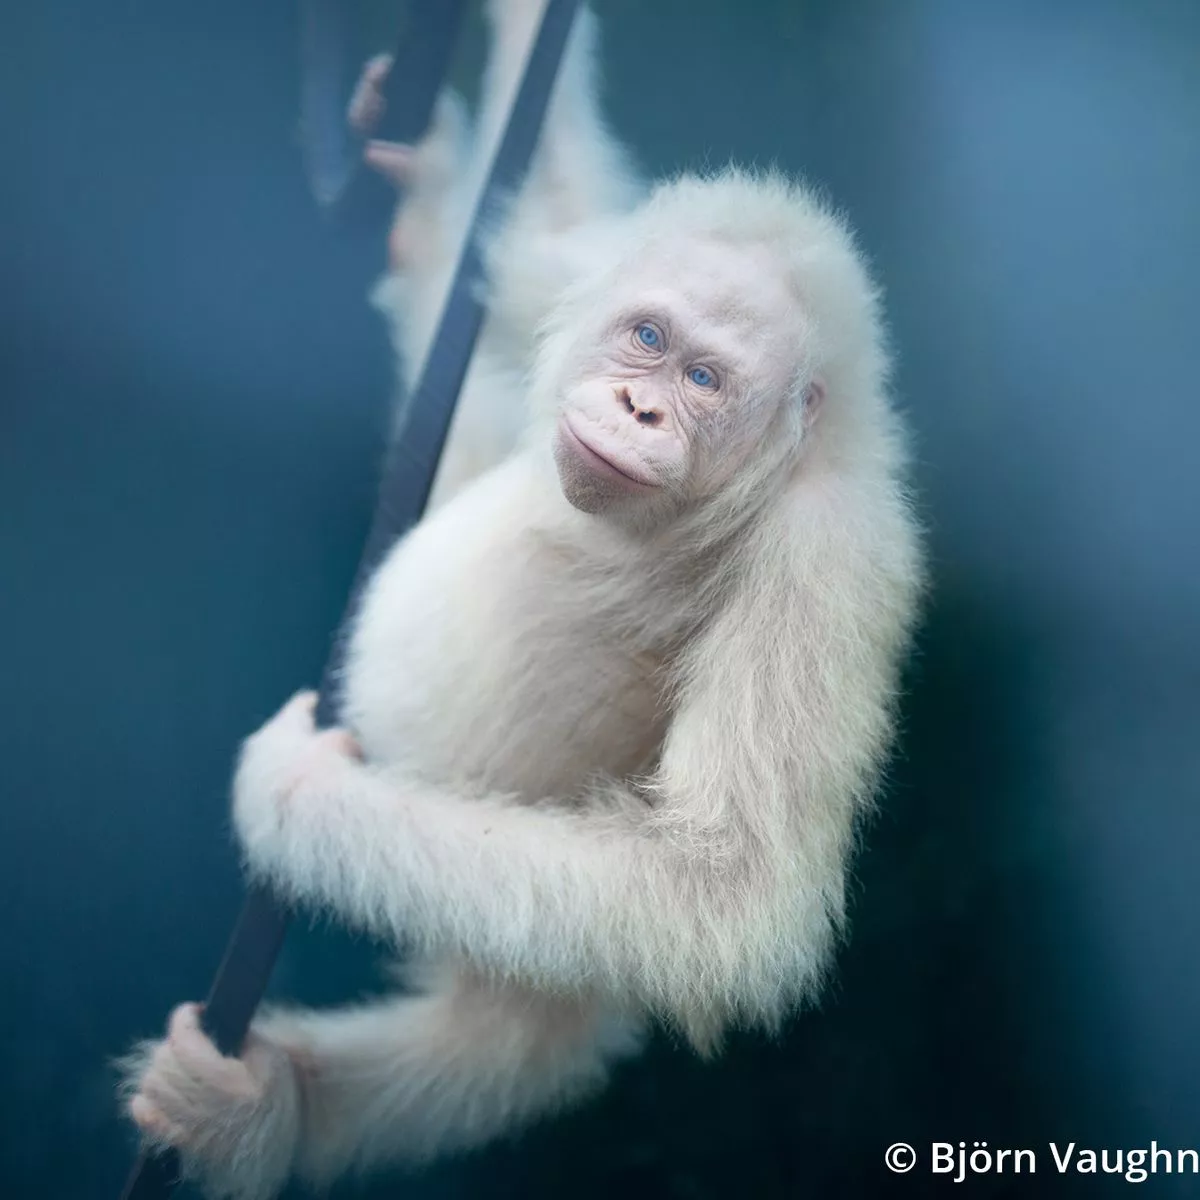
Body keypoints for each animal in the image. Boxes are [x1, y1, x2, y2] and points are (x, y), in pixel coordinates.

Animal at [119, 3, 924, 1197]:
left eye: (705, 383)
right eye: (648, 337)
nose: (639, 407)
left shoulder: (824, 561)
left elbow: (721, 900)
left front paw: (295, 796)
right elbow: (560, 220)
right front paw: (515, 41)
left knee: (515, 1031)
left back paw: (254, 1106)